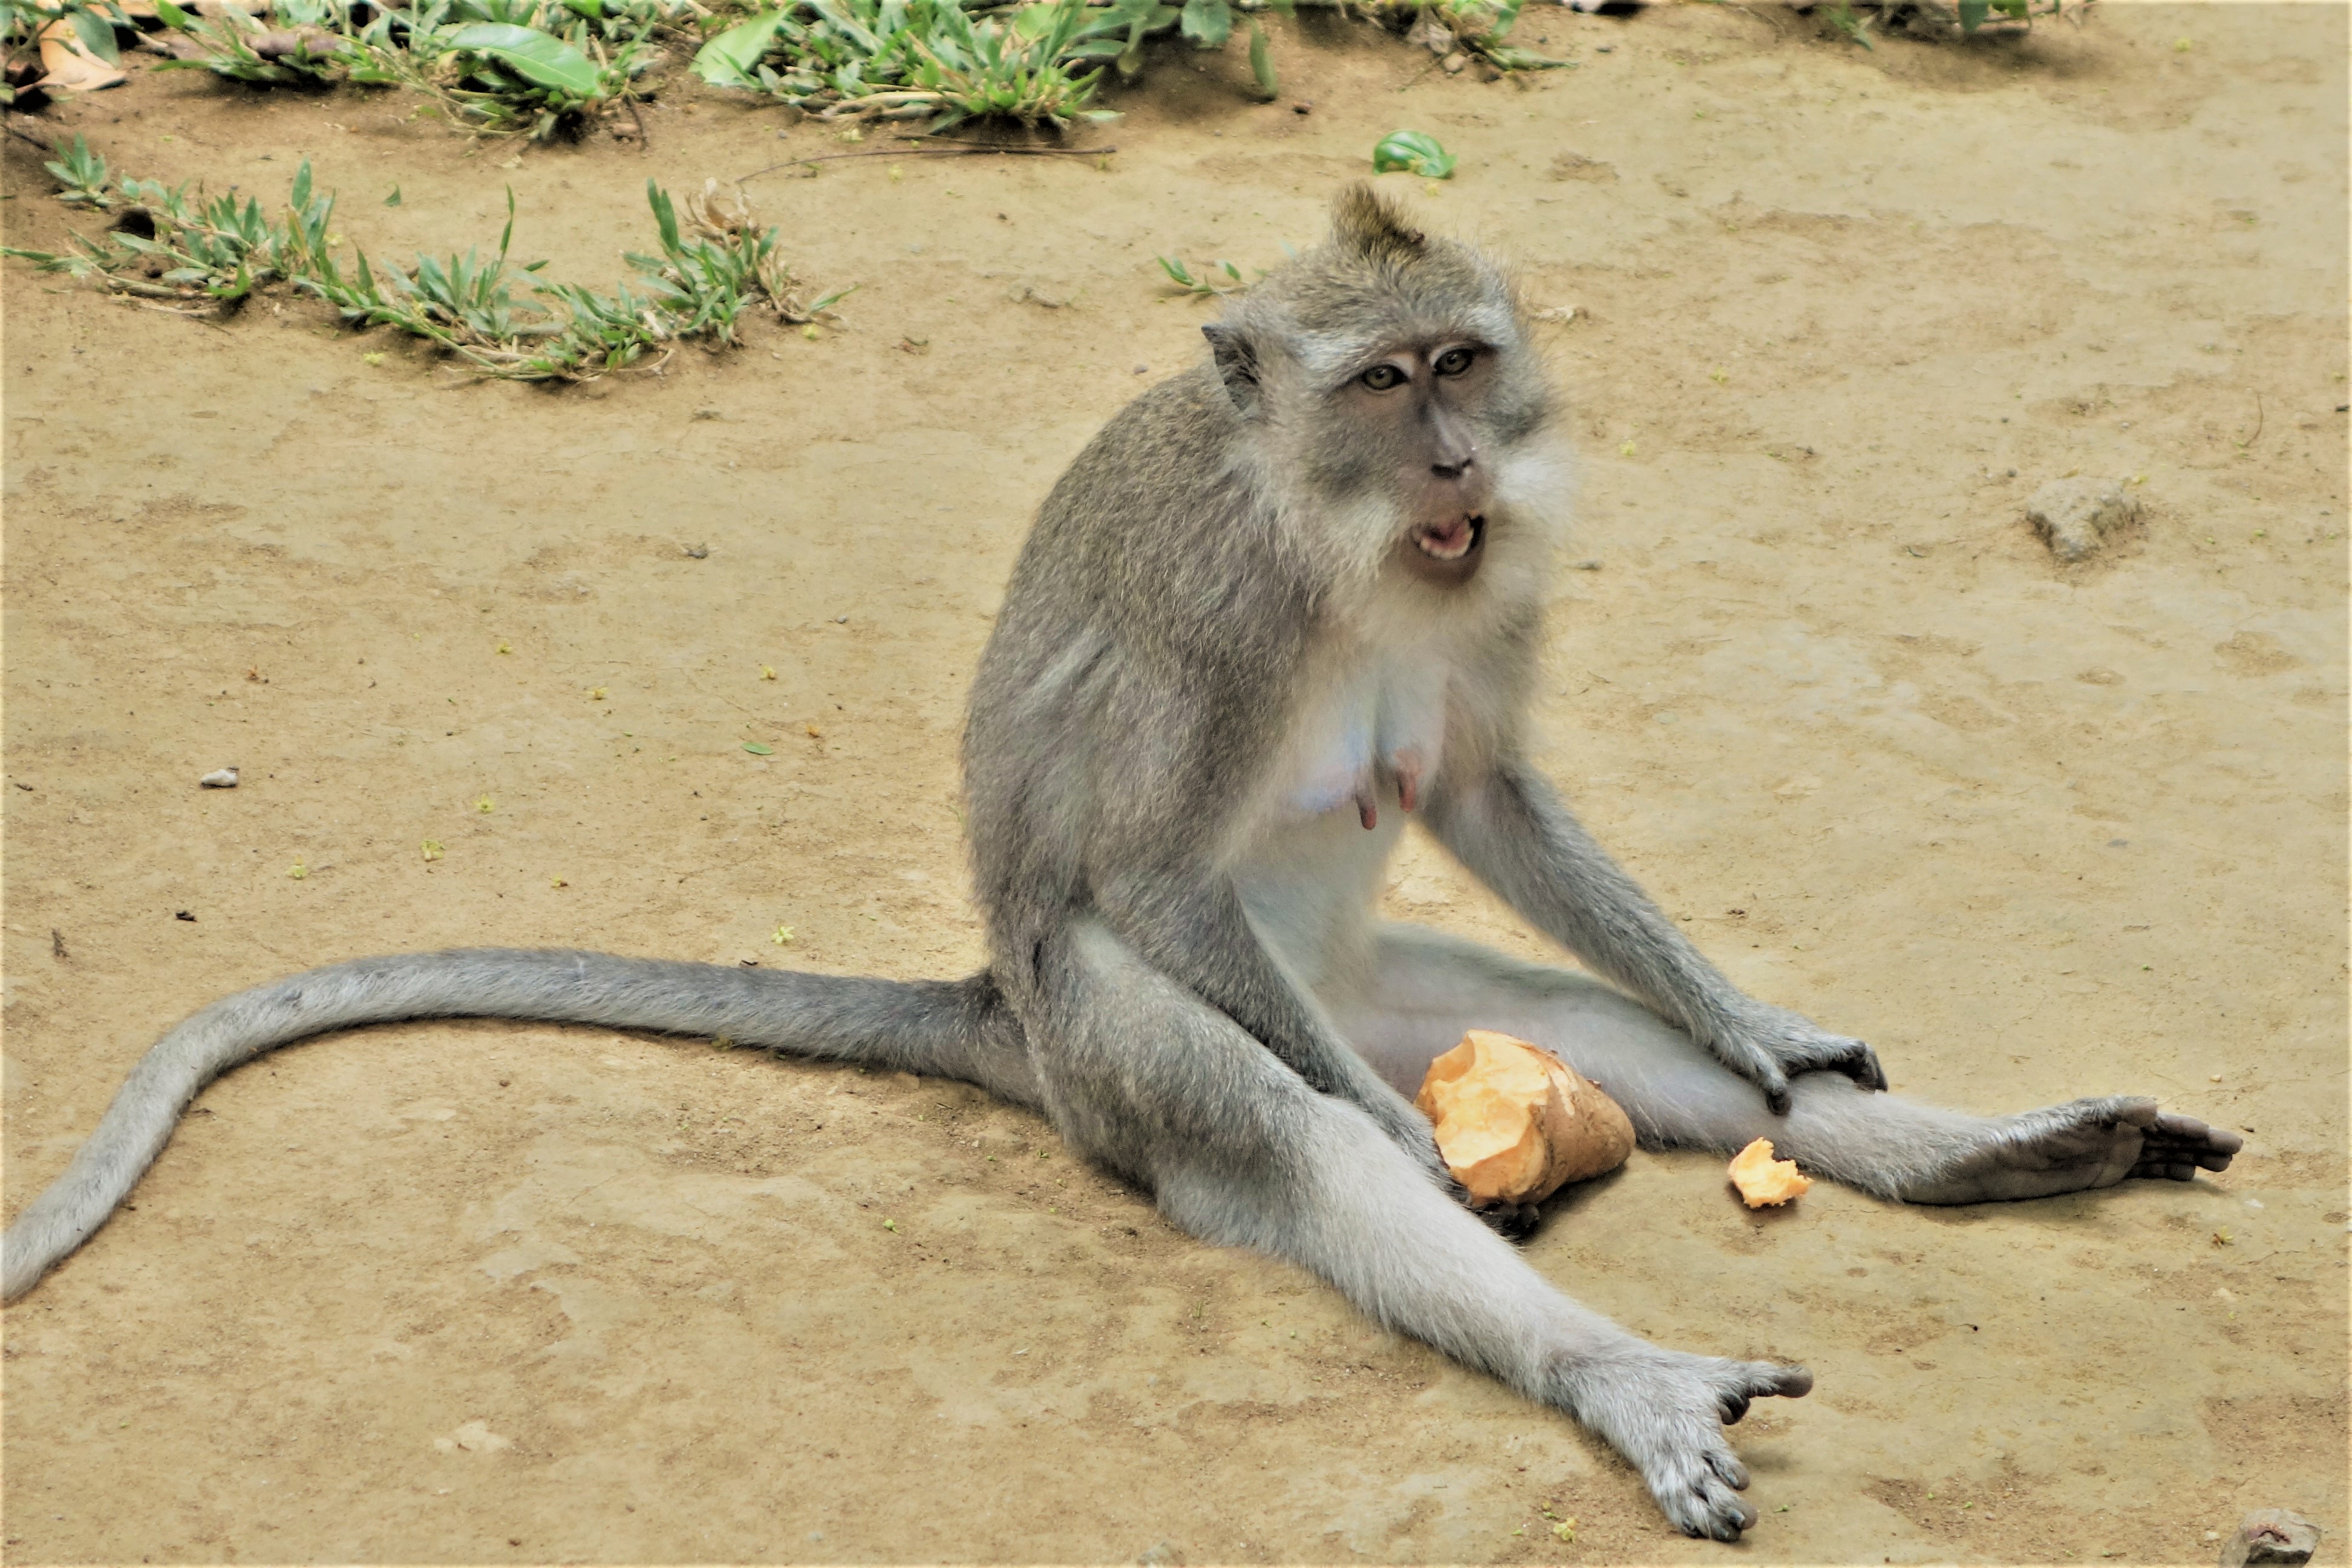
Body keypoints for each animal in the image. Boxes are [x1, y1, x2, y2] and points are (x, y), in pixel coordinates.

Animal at [0, 185, 2241, 1541]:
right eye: (1379, 382)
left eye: (1461, 361)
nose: (1456, 461)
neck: (1348, 541)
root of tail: (1002, 1005)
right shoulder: (1220, 620)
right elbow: (1155, 863)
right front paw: (1417, 1153)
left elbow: (1492, 801)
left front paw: (1768, 1028)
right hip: (1122, 1050)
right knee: (1298, 1127)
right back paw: (1610, 1364)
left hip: (1395, 990)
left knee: (1602, 1052)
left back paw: (1974, 1153)